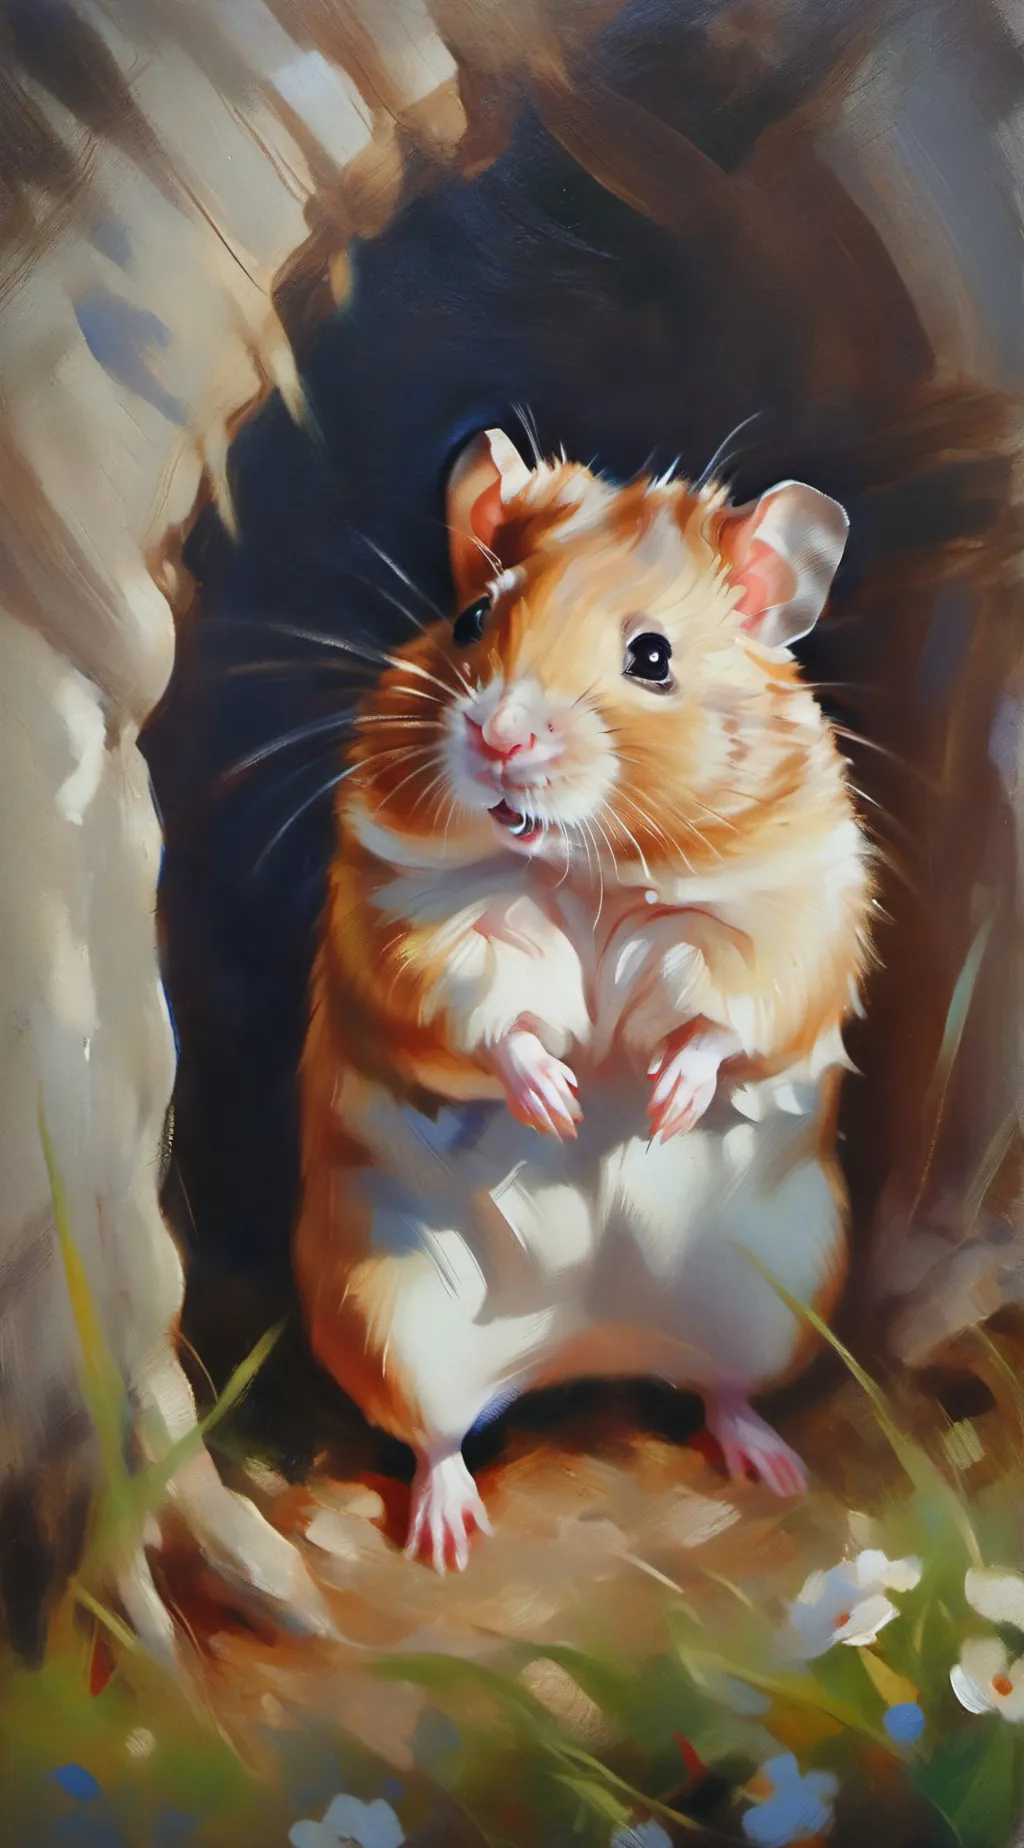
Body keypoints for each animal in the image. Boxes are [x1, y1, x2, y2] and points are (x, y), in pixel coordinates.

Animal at [294, 426, 873, 1572]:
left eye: (652, 657)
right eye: (473, 619)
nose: (498, 739)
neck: (583, 870)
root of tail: (581, 1346)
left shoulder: (782, 919)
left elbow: (724, 1015)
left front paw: (661, 1103)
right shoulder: (413, 922)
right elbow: (487, 1011)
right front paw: (559, 1103)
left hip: (773, 1296)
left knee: (722, 1390)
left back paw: (770, 1463)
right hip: (387, 1313)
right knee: (435, 1438)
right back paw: (445, 1536)